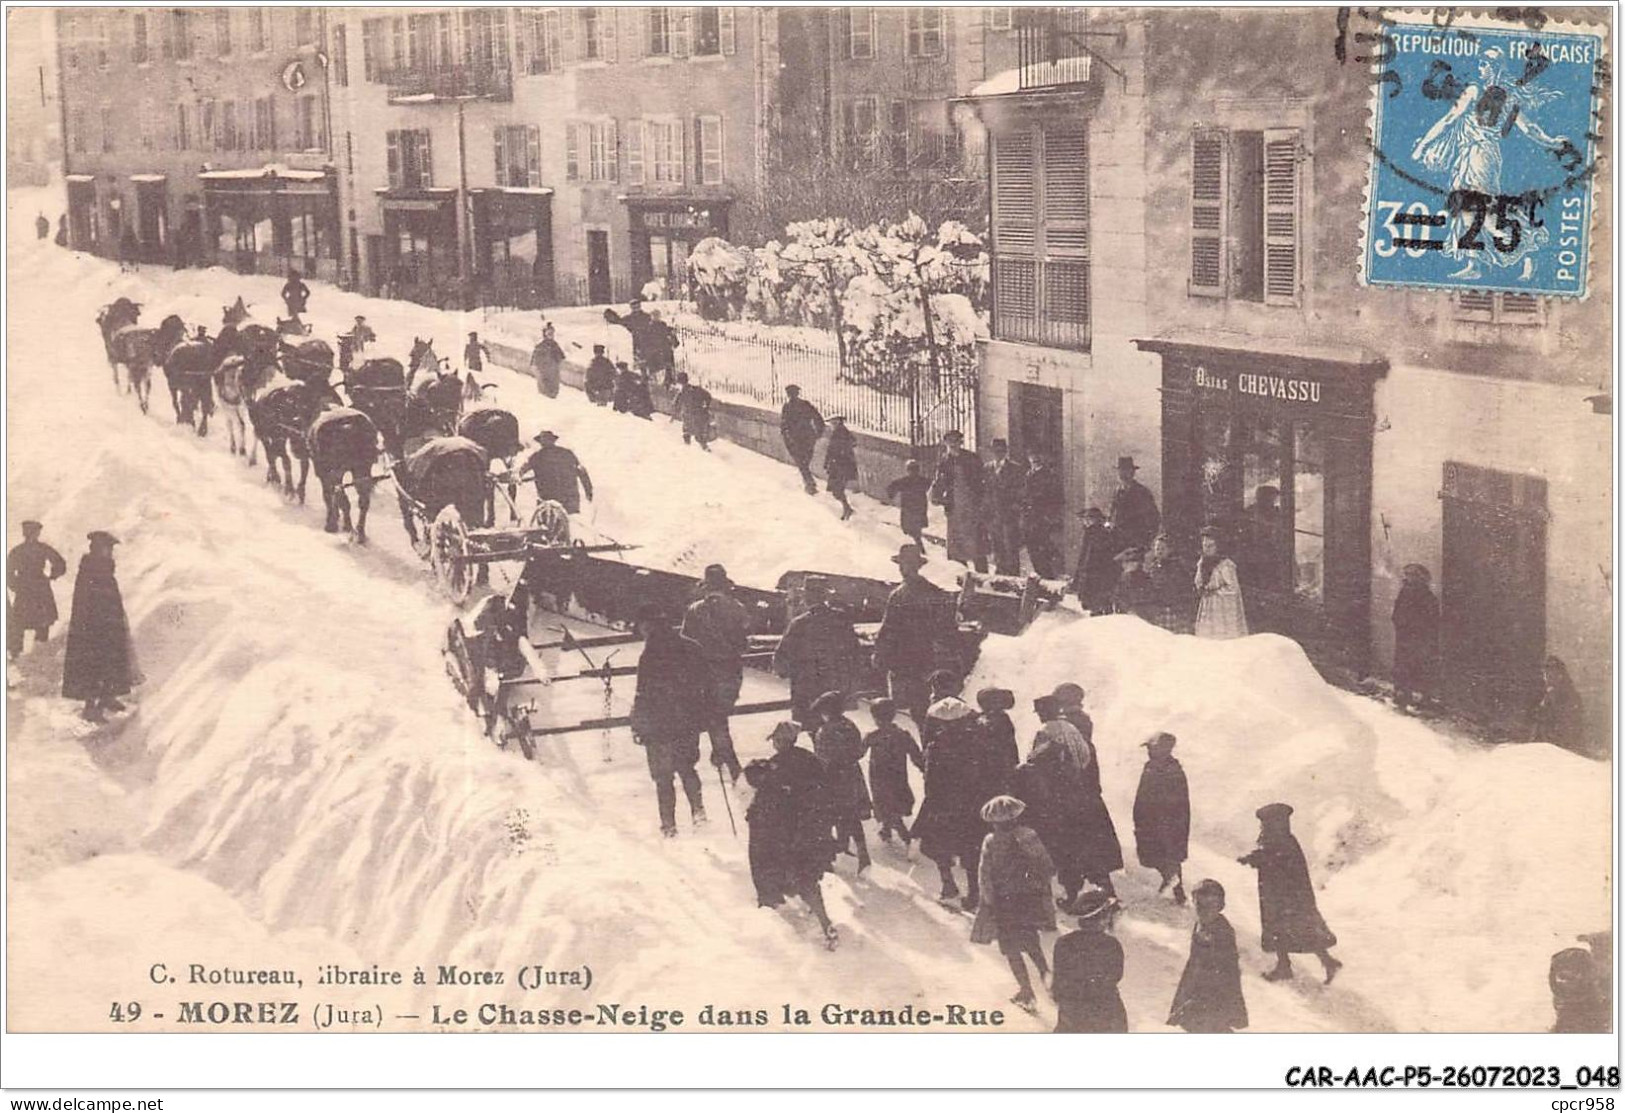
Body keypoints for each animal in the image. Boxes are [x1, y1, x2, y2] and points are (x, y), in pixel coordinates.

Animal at [305, 409, 380, 545]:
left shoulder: (322, 471)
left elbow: (328, 496)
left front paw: (332, 523)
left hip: (336, 471)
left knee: (341, 496)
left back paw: (344, 526)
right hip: (362, 470)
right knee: (363, 501)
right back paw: (360, 533)